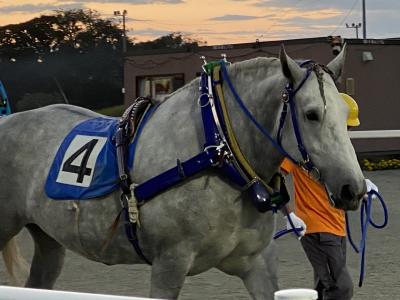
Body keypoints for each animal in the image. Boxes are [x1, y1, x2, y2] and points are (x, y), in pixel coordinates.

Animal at [0, 45, 366, 298]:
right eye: (311, 114)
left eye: (345, 112)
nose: (354, 188)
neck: (219, 153)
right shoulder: (169, 265)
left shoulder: (258, 264)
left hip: (48, 240)